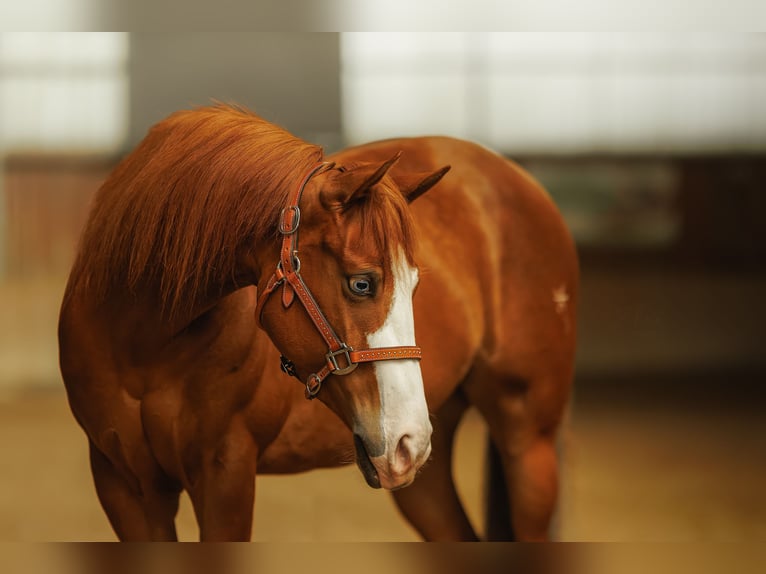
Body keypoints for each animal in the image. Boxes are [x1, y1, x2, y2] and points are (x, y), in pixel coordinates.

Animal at [58, 104, 578, 541]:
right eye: (362, 283)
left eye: (414, 285)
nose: (408, 438)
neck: (143, 345)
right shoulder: (124, 484)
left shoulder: (225, 473)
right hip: (425, 468)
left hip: (526, 442)